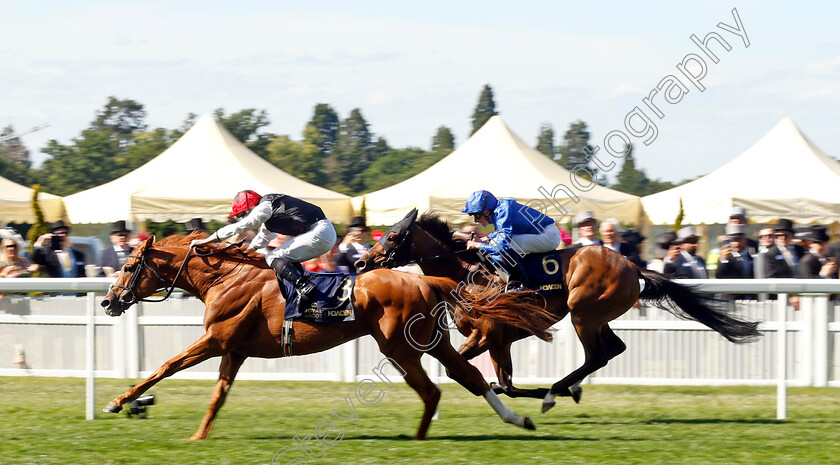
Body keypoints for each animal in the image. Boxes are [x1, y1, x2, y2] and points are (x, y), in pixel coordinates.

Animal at [100, 236, 556, 438]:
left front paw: (118, 402)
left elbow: (164, 366)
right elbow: (218, 395)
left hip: (398, 347)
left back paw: (418, 438)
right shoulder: (234, 350)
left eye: (130, 267)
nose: (108, 301)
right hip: (433, 342)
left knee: (432, 390)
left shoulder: (215, 341)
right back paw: (518, 418)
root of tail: (425, 280)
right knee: (471, 377)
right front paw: (198, 436)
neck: (224, 277)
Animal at [354, 210, 760, 410]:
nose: (361, 263)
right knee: (614, 349)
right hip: (598, 316)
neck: (467, 273)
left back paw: (557, 391)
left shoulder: (491, 335)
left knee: (597, 355)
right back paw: (566, 388)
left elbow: (490, 379)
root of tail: (632, 265)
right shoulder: (495, 338)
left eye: (393, 236)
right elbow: (487, 377)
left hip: (584, 312)